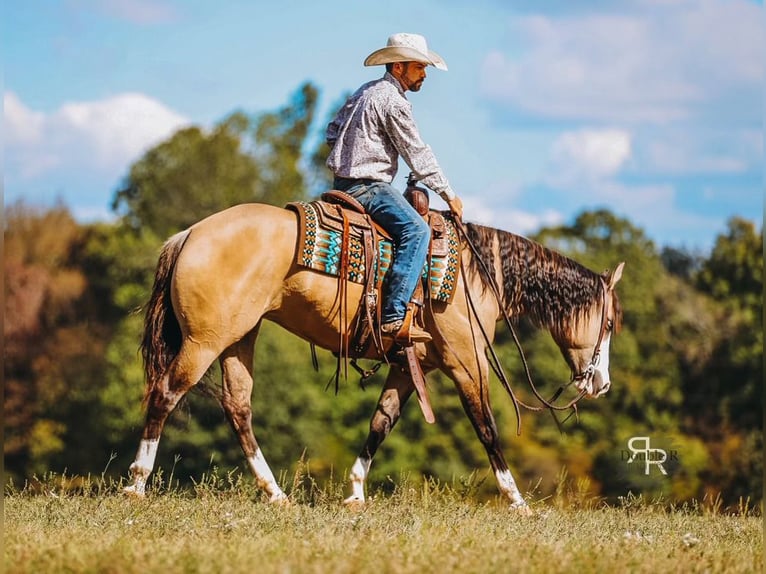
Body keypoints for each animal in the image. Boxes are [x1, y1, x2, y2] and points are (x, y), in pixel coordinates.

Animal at [123, 202, 624, 512]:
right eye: (610, 323)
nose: (602, 384)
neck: (477, 274)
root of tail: (190, 234)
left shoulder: (409, 367)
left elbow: (381, 423)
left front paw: (356, 491)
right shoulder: (466, 362)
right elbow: (486, 426)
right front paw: (517, 499)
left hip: (238, 338)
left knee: (237, 406)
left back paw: (275, 492)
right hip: (204, 341)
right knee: (165, 394)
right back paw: (137, 482)